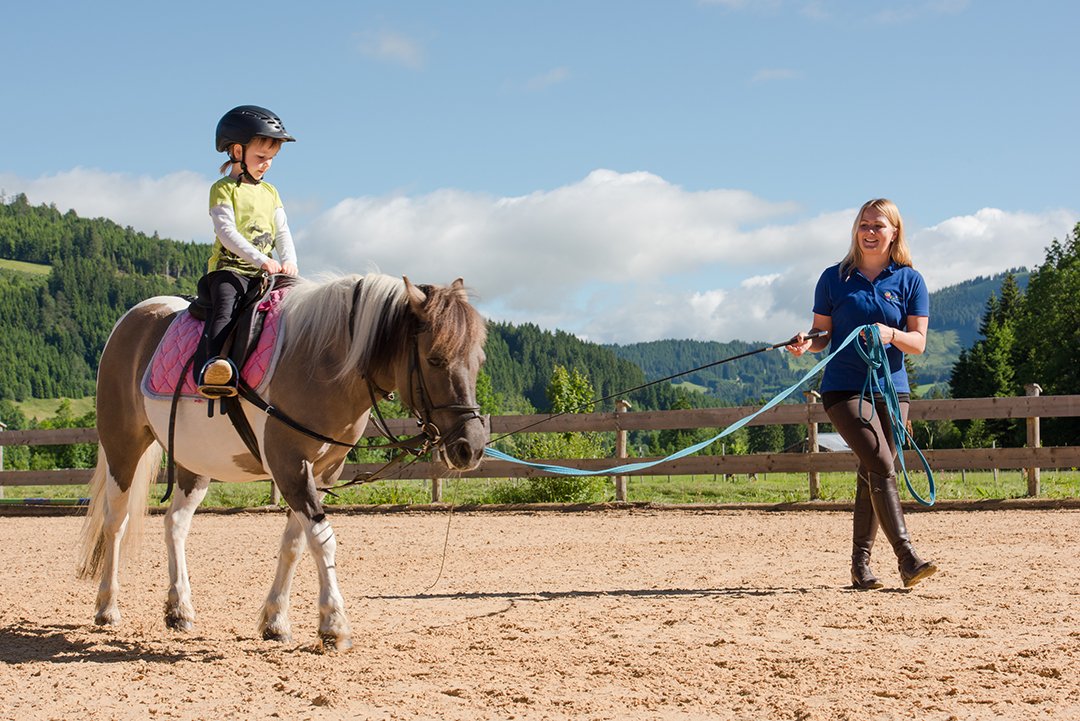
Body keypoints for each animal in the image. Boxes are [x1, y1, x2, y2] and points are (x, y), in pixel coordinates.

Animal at [77, 273, 488, 651]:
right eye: (435, 358)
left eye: (477, 360)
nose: (471, 447)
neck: (322, 363)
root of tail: (133, 319)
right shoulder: (289, 464)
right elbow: (322, 539)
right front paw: (333, 625)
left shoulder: (321, 472)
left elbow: (294, 543)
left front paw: (275, 621)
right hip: (122, 447)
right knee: (114, 522)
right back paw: (107, 607)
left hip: (195, 463)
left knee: (175, 524)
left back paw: (179, 609)